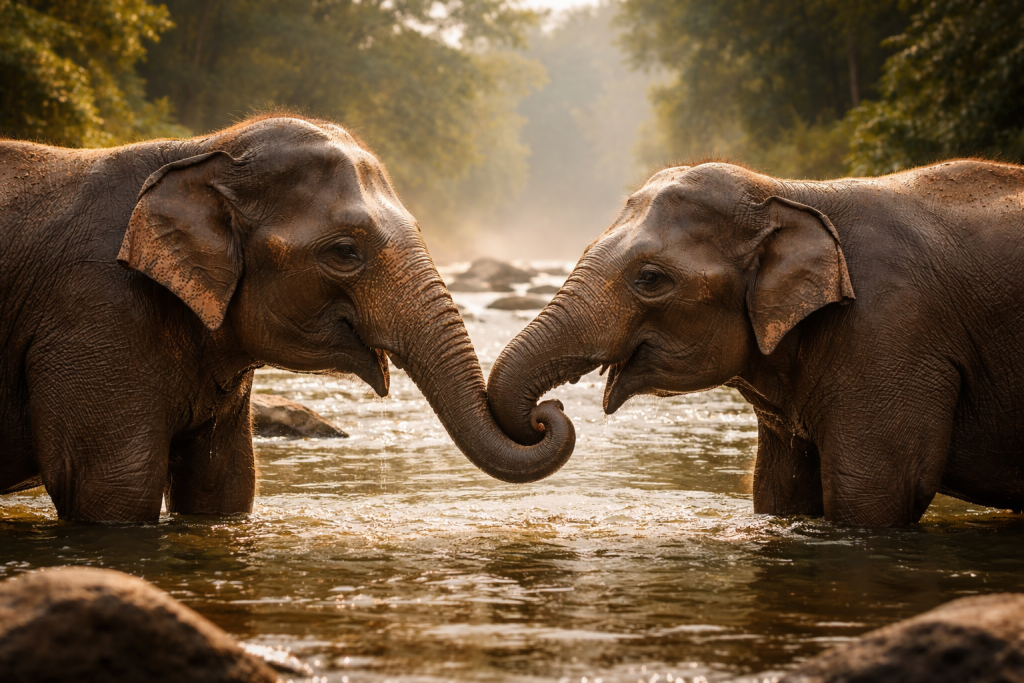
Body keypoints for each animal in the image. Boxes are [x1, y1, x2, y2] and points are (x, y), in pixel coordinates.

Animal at [0, 115, 572, 522]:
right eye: (344, 251)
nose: (549, 411)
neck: (201, 149)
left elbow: (225, 484)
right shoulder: (95, 311)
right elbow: (112, 485)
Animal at [486, 160, 1024, 526]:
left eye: (650, 279)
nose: (548, 412)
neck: (789, 192)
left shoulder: (891, 331)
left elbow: (878, 491)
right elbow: (779, 492)